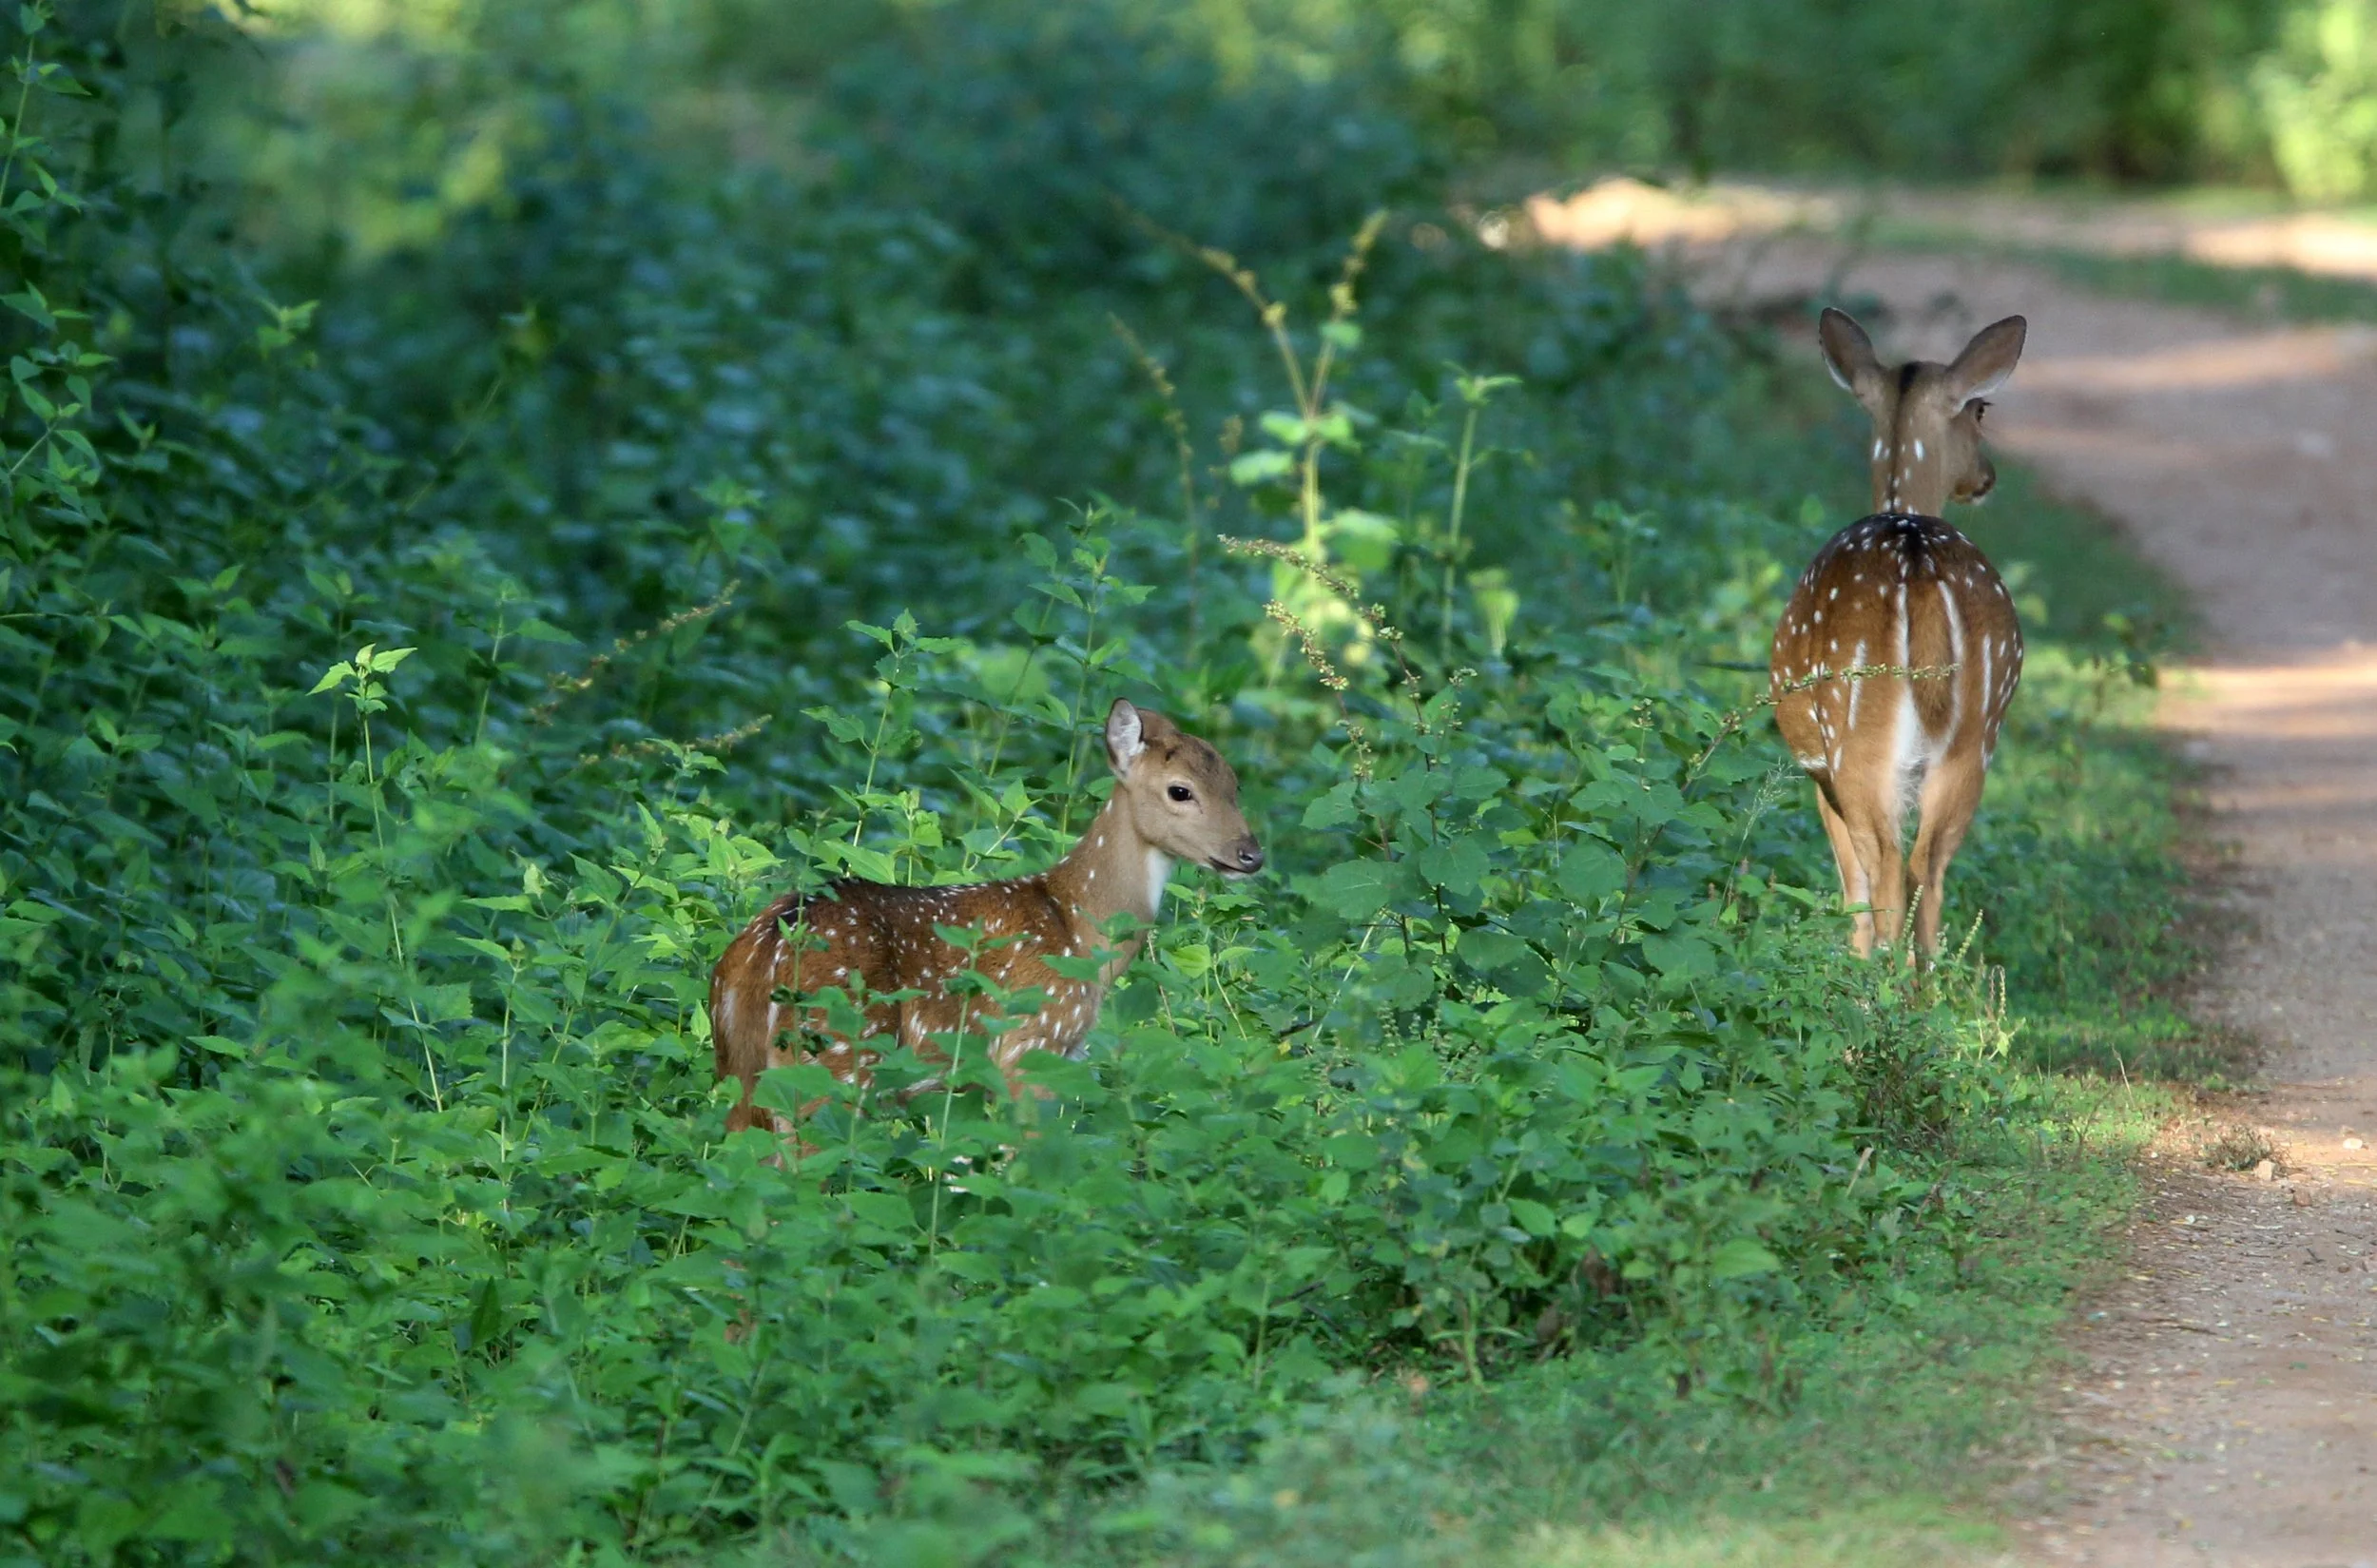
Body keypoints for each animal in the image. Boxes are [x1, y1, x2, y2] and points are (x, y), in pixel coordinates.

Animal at [710, 699, 1263, 1136]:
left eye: (1235, 784)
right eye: (1179, 790)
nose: (1251, 855)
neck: (1079, 931)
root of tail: (762, 952)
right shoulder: (1032, 1046)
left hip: (741, 1075)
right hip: (835, 1061)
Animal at [1770, 307, 2027, 960]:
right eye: (1980, 410)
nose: (1987, 477)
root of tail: (1918, 565)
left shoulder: (1817, 770)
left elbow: (1851, 882)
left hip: (1853, 732)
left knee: (1884, 869)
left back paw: (1877, 982)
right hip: (1974, 739)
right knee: (1927, 868)